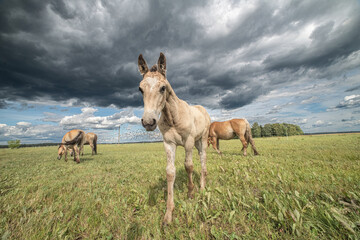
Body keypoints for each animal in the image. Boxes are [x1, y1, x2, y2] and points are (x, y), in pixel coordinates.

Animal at [138, 52, 211, 225]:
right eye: (140, 89)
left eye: (163, 88)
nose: (148, 122)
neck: (173, 117)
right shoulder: (168, 143)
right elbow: (170, 172)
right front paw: (168, 214)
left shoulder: (188, 141)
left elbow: (188, 166)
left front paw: (190, 193)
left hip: (201, 141)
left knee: (203, 162)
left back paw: (202, 188)